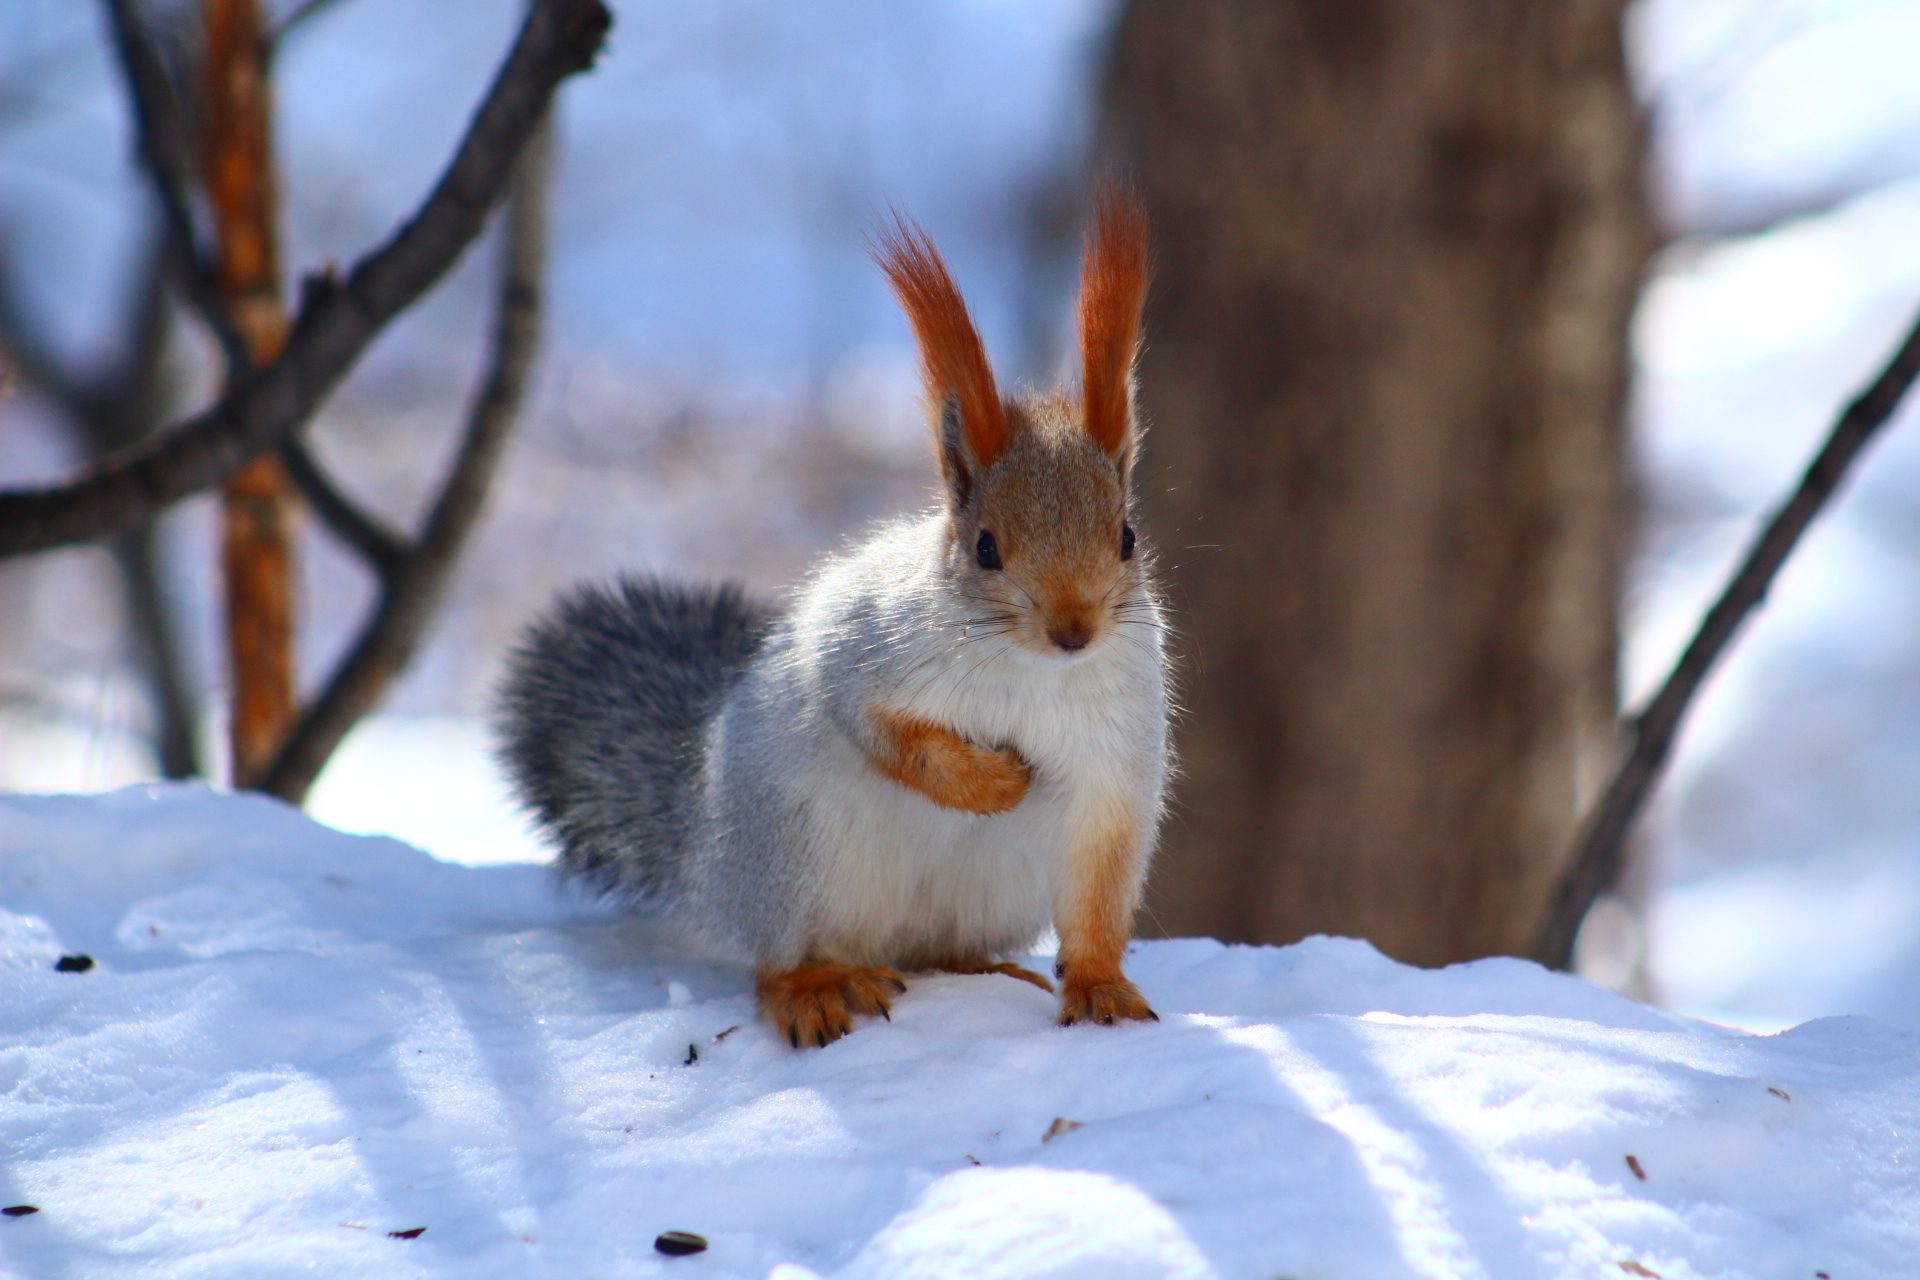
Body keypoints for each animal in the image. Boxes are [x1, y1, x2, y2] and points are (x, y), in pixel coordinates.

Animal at [495, 192, 1167, 1051]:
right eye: (986, 547)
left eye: (1127, 537)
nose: (1073, 630)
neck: (1033, 672)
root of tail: (710, 858)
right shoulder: (864, 651)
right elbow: (883, 731)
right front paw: (990, 782)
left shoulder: (1116, 764)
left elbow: (1099, 890)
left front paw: (1101, 986)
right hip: (795, 855)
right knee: (776, 963)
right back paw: (812, 987)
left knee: (938, 951)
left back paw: (984, 968)